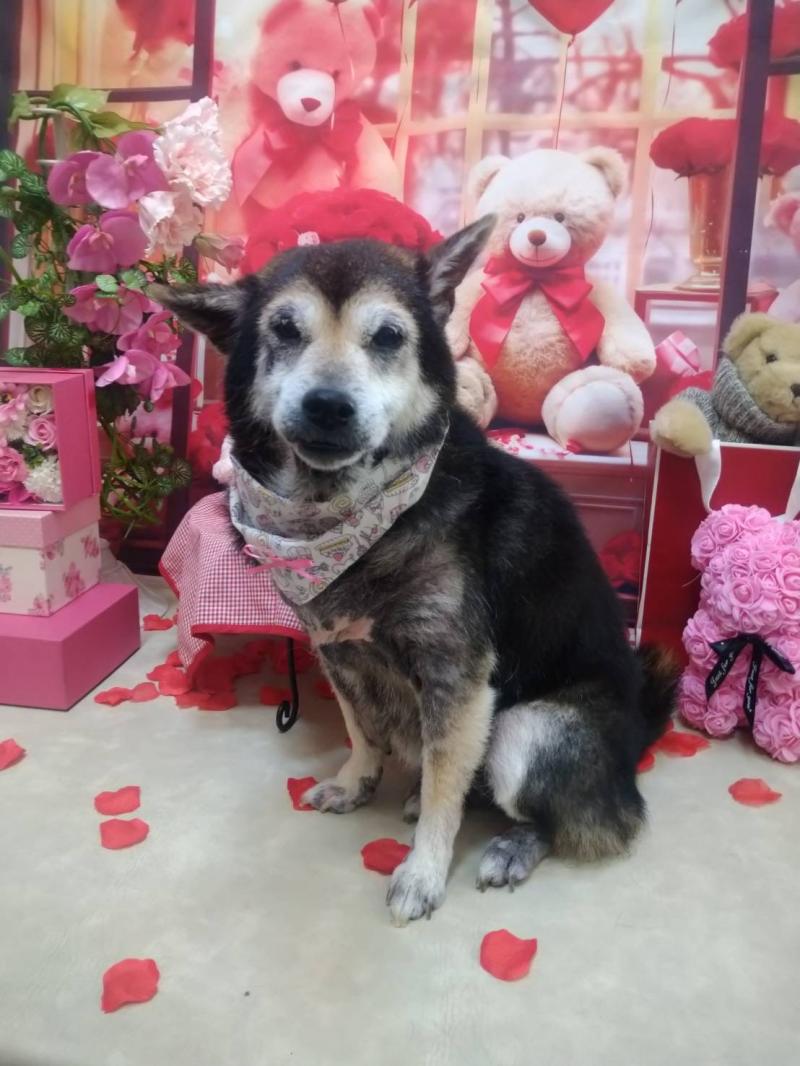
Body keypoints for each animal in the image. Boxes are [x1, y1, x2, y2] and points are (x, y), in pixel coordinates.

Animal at [152, 217, 676, 926]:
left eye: (388, 337)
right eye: (284, 329)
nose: (327, 405)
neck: (343, 511)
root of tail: (637, 738)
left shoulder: (458, 676)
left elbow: (443, 795)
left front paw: (424, 872)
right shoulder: (336, 651)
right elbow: (361, 732)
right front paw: (357, 783)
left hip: (526, 732)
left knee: (579, 822)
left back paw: (512, 847)